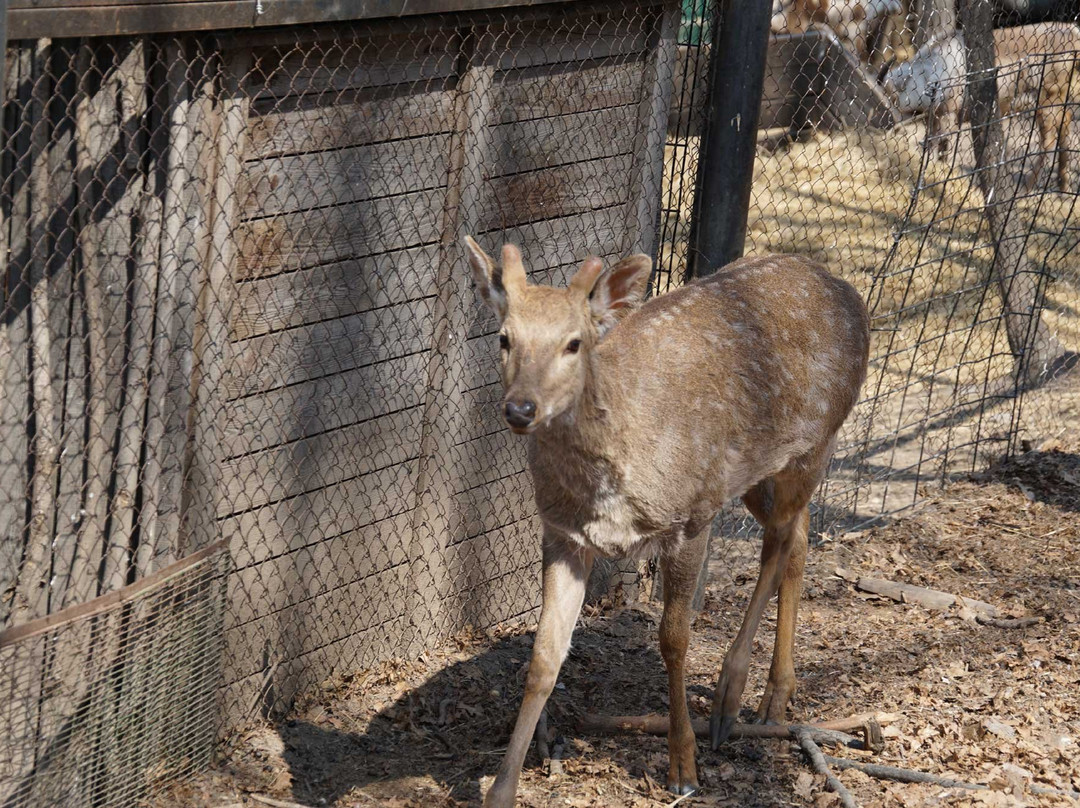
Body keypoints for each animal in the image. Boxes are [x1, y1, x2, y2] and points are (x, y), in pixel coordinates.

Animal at [464, 236, 868, 803]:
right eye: (504, 338)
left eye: (574, 344)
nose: (521, 408)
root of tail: (844, 286)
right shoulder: (563, 534)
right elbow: (544, 656)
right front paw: (501, 791)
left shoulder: (689, 517)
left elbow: (674, 639)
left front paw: (683, 767)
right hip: (758, 472)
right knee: (800, 532)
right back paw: (773, 697)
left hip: (815, 440)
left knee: (783, 537)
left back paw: (729, 699)